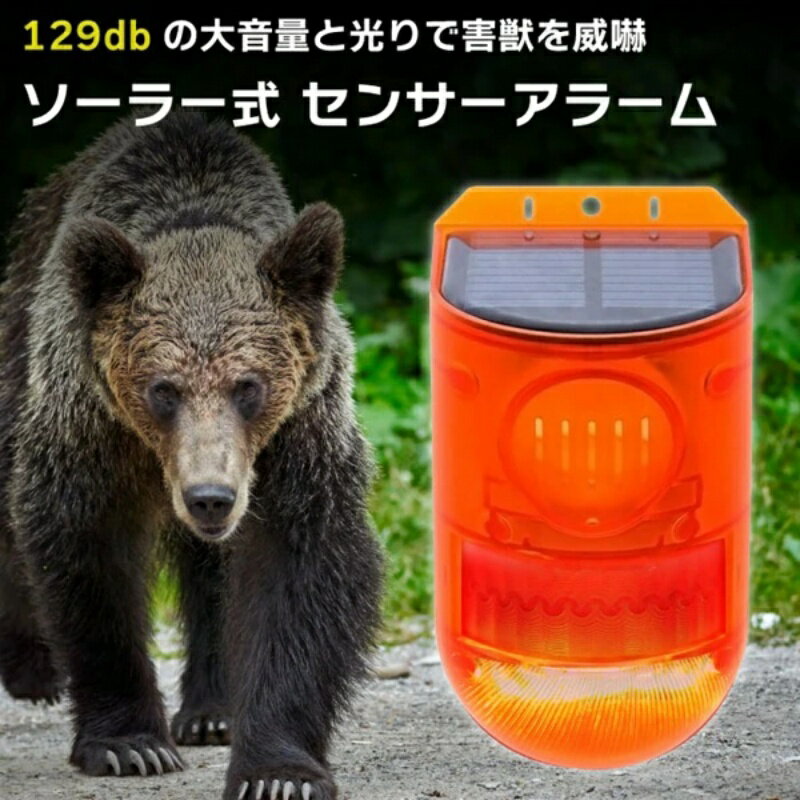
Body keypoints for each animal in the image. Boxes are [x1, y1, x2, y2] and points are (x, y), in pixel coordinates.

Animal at [0, 112, 383, 800]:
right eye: (163, 389)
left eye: (248, 385)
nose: (210, 498)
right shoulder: (91, 426)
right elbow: (88, 554)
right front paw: (129, 743)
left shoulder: (297, 438)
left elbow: (298, 569)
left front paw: (277, 771)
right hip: (19, 351)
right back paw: (33, 669)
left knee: (212, 574)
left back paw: (212, 711)